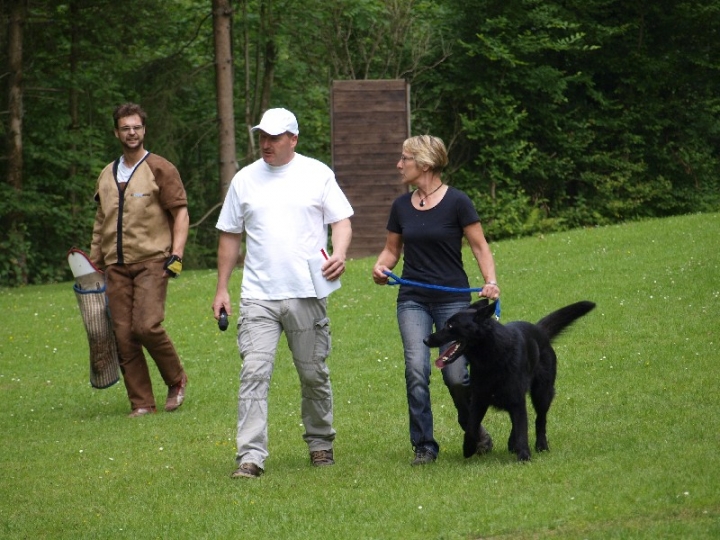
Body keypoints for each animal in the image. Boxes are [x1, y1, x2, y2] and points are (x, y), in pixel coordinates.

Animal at [422, 300, 596, 460]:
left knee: (540, 420)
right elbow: (472, 426)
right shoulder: (479, 399)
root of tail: (539, 330)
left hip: (542, 394)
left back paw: (541, 446)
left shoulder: (516, 398)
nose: (425, 340)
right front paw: (469, 447)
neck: (491, 357)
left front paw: (524, 456)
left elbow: (522, 428)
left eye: (451, 325)